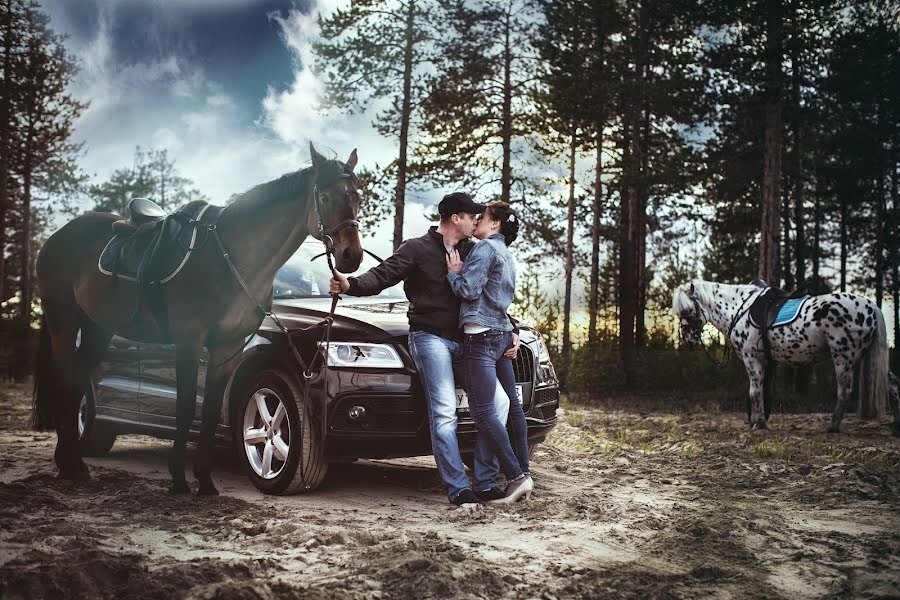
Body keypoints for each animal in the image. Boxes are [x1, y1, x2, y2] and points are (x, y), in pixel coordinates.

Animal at [32, 144, 362, 492]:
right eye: (325, 197)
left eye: (358, 197)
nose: (351, 256)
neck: (232, 260)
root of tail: (56, 237)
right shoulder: (189, 341)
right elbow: (187, 405)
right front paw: (179, 478)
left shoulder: (227, 347)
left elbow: (211, 407)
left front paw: (204, 481)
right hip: (64, 322)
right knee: (66, 383)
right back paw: (67, 464)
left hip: (97, 329)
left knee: (76, 384)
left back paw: (74, 465)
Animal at [672, 282, 896, 436]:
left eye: (689, 312)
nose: (688, 341)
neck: (739, 309)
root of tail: (871, 306)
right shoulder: (765, 361)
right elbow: (762, 391)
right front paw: (759, 421)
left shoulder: (751, 358)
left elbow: (754, 392)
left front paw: (758, 424)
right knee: (892, 386)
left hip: (843, 357)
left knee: (844, 391)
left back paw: (832, 426)